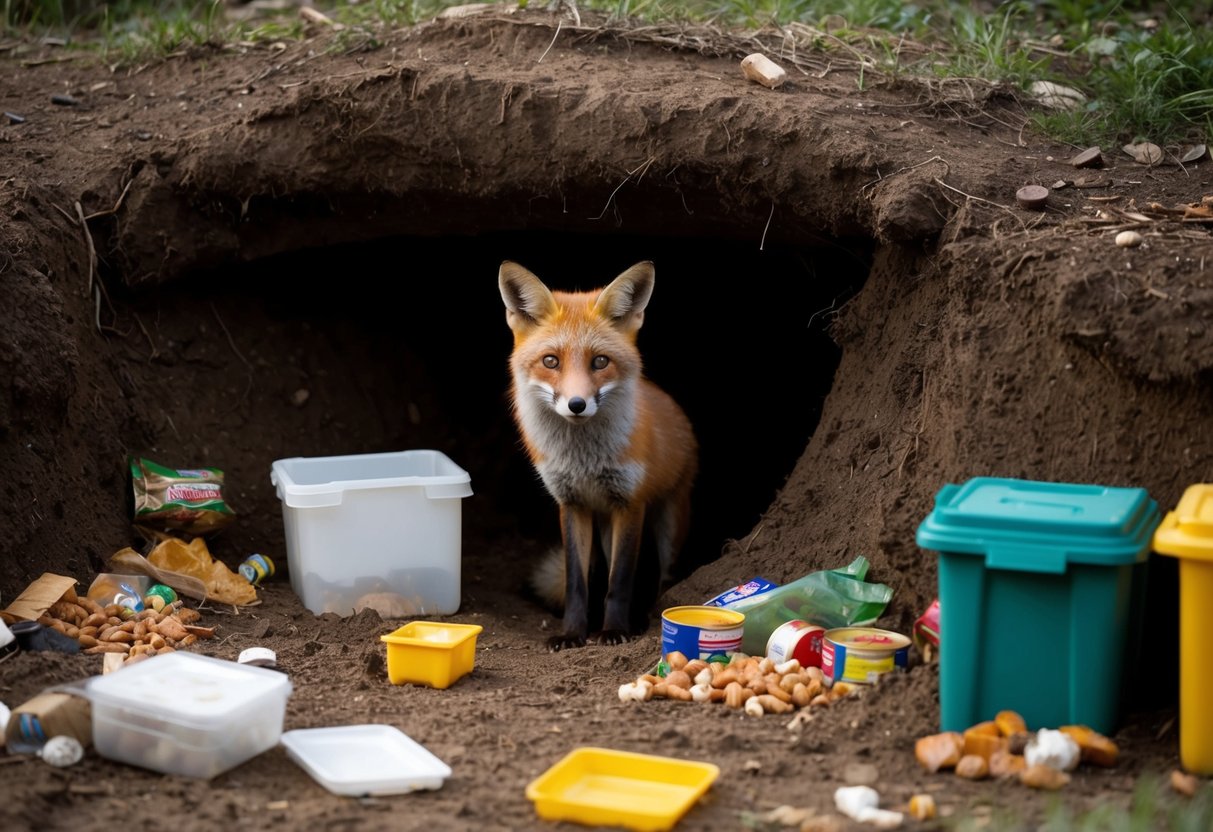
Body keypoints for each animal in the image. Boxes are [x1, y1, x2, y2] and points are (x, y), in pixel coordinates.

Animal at [498, 260, 698, 651]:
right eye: (551, 361)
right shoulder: (571, 504)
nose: (577, 405)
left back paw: (645, 616)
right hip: (601, 524)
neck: (584, 460)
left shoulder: (630, 503)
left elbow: (619, 581)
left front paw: (615, 630)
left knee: (662, 578)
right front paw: (573, 633)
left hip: (669, 520)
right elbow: (578, 582)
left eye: (600, 361)